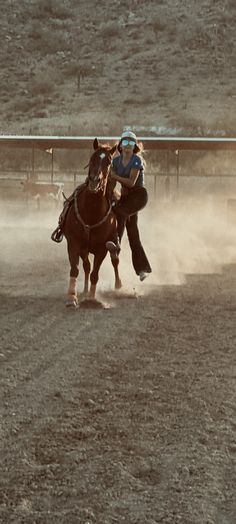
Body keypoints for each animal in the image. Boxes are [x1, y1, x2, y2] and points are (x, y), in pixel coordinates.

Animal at [63, 138, 121, 308]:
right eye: (92, 158)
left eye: (109, 162)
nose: (95, 181)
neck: (91, 212)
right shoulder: (74, 243)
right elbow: (75, 269)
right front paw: (72, 297)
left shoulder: (102, 248)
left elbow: (96, 273)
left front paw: (91, 298)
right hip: (84, 249)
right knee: (86, 266)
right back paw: (84, 290)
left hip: (111, 245)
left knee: (115, 260)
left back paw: (118, 286)